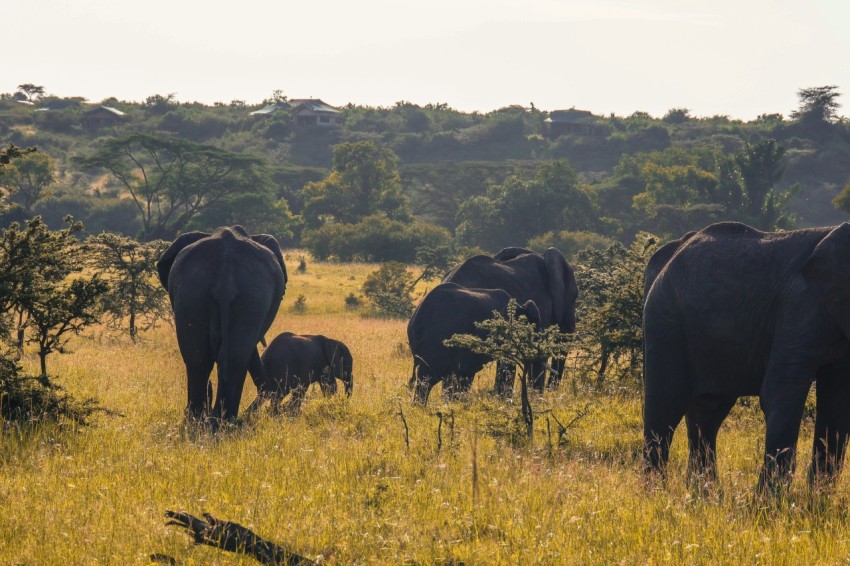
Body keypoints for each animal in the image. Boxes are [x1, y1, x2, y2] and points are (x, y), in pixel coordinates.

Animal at [153, 225, 284, 422]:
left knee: (202, 357)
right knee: (217, 357)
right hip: (242, 294)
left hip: (203, 293)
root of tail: (226, 273)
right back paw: (218, 421)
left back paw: (207, 420)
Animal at [644, 223, 850, 492]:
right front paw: (770, 499)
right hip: (665, 322)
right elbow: (781, 392)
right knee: (665, 406)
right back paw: (655, 492)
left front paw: (819, 496)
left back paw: (704, 493)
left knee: (708, 412)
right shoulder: (799, 306)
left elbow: (838, 402)